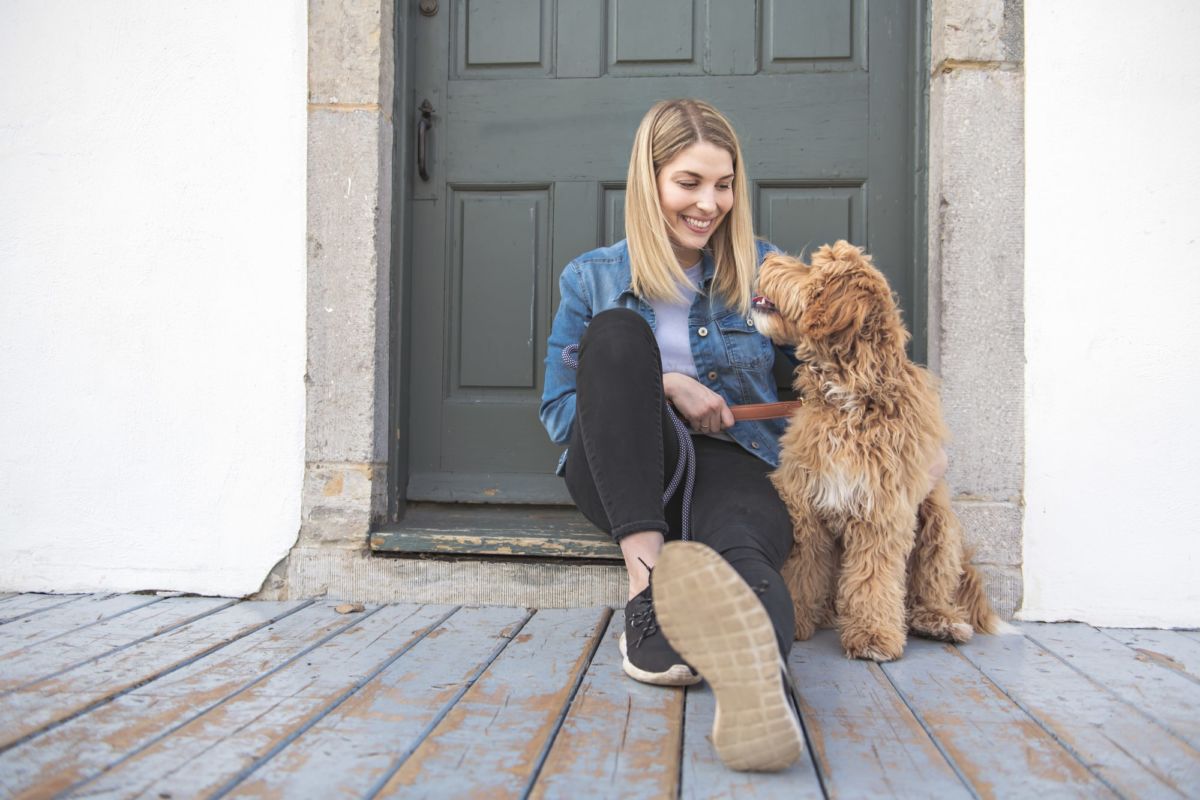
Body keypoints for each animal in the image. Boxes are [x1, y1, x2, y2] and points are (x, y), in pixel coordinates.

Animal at [748, 241, 993, 662]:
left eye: (811, 268)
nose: (764, 257)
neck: (850, 399)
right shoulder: (805, 506)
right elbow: (801, 570)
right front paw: (796, 618)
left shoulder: (883, 511)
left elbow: (873, 579)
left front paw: (873, 636)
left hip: (939, 525)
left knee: (929, 587)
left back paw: (940, 620)